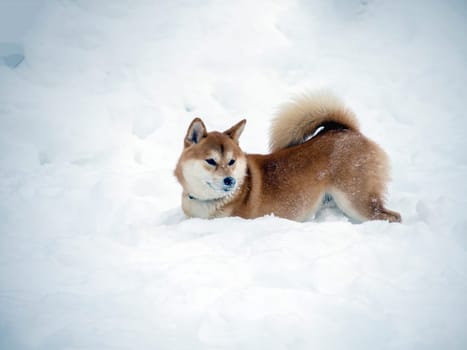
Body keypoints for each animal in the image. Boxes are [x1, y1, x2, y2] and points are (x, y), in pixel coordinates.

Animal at [174, 92, 400, 221]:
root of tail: (346, 130)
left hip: (355, 201)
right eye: (211, 161)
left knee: (393, 216)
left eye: (231, 161)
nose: (230, 180)